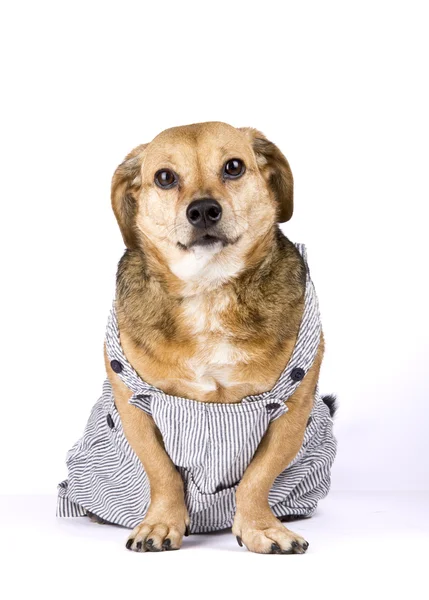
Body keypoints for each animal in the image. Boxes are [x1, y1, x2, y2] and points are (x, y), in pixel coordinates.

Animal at [56, 120, 336, 552]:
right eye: (165, 177)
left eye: (234, 167)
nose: (203, 209)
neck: (209, 289)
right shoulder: (133, 401)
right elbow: (161, 472)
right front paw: (160, 524)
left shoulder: (295, 405)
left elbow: (258, 477)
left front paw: (260, 527)